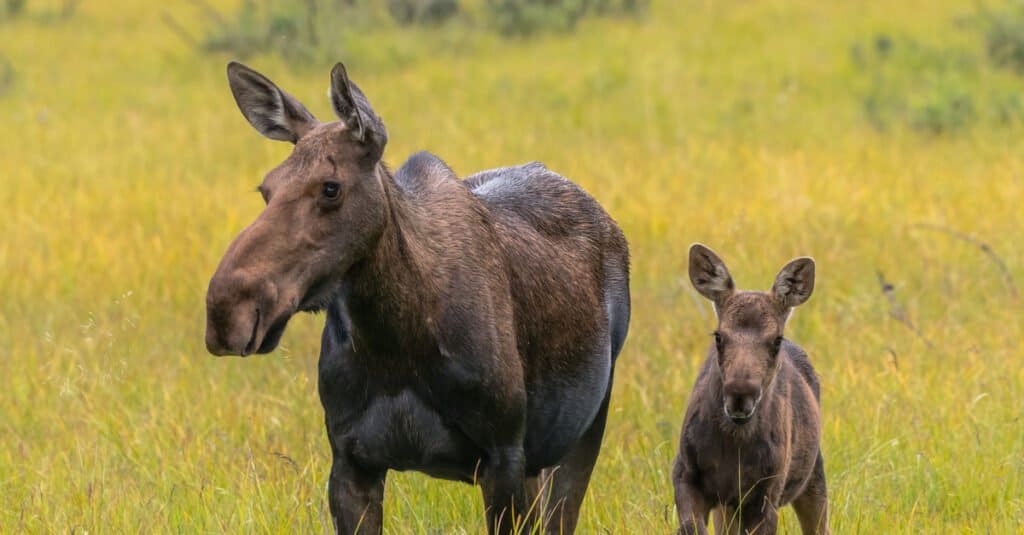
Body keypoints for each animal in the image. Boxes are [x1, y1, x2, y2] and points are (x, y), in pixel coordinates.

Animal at [203, 60, 626, 528]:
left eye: (331, 187)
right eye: (265, 189)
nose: (227, 311)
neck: (393, 341)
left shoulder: (502, 455)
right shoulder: (350, 460)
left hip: (583, 427)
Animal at [671, 244, 831, 532]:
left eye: (776, 340)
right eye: (719, 336)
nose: (739, 394)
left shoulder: (766, 494)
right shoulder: (684, 472)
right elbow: (693, 528)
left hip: (813, 473)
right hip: (728, 506)